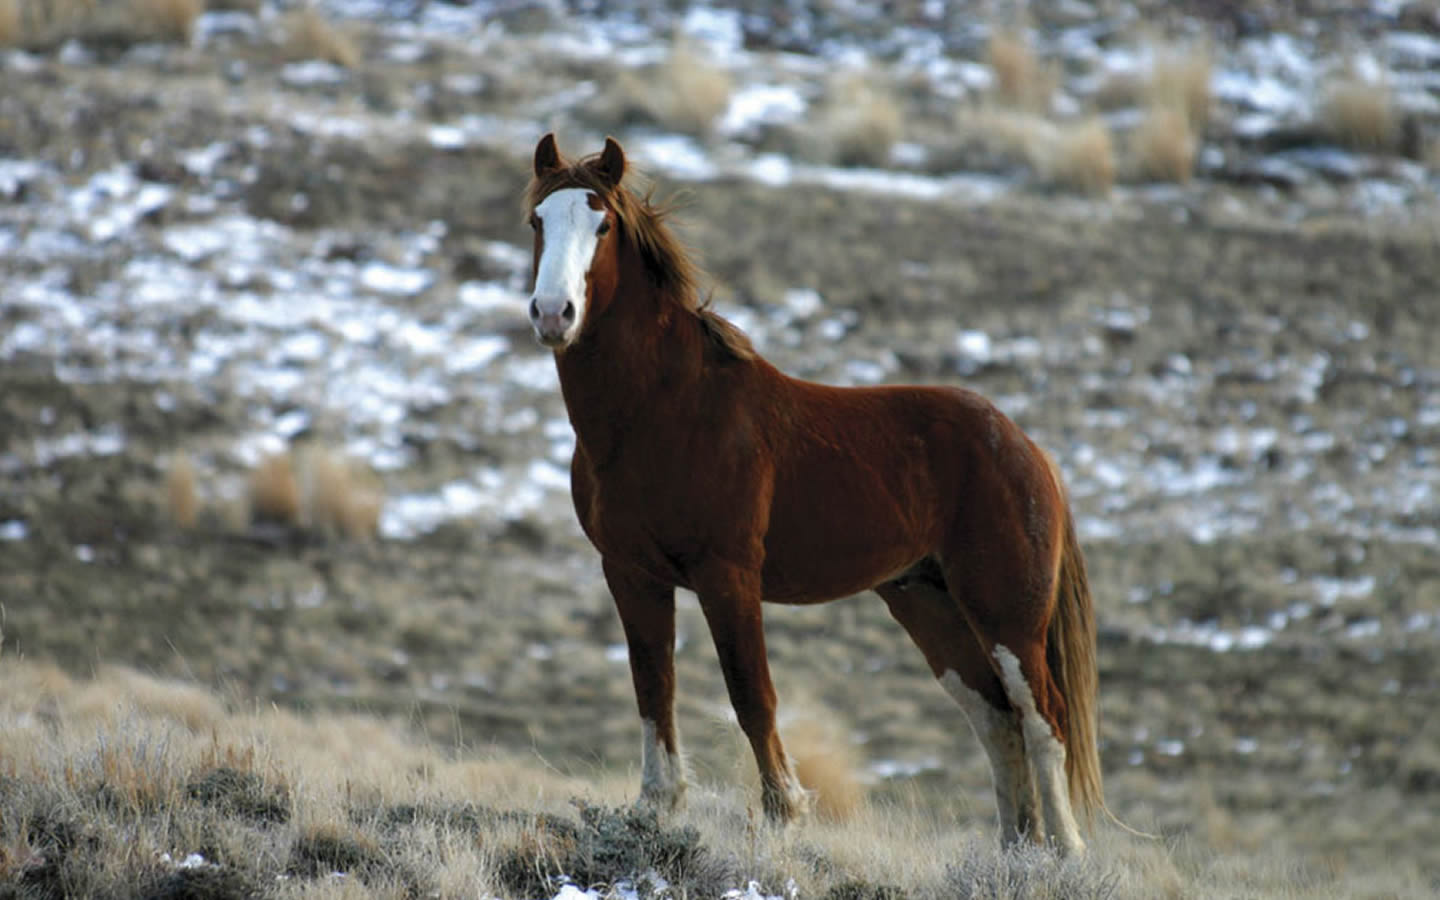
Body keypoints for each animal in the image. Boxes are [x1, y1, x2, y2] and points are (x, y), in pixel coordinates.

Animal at [527, 133, 1100, 858]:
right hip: (930, 607)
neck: (663, 409)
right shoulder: (631, 574)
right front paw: (656, 808)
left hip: (1007, 613)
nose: (553, 315)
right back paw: (1015, 853)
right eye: (537, 221)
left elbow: (752, 695)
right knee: (996, 721)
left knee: (1042, 719)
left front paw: (783, 815)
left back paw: (1065, 856)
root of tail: (1028, 449)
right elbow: (654, 689)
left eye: (601, 226)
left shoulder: (727, 576)